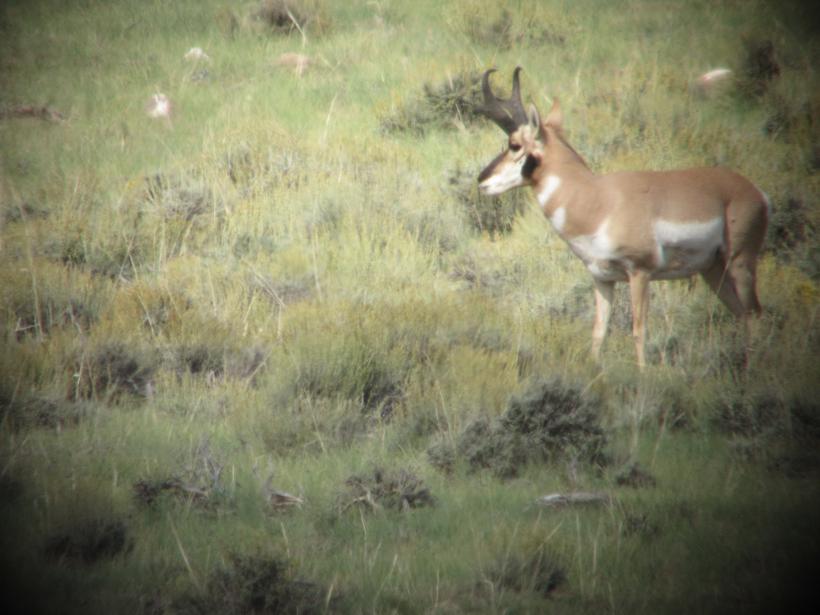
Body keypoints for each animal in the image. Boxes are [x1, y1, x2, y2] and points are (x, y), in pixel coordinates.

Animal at [476, 68, 768, 368]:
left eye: (514, 145)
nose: (481, 180)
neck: (598, 200)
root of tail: (753, 190)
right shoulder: (602, 279)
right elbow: (599, 331)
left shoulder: (639, 273)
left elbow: (638, 330)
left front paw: (642, 374)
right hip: (713, 270)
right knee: (743, 315)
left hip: (739, 263)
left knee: (755, 314)